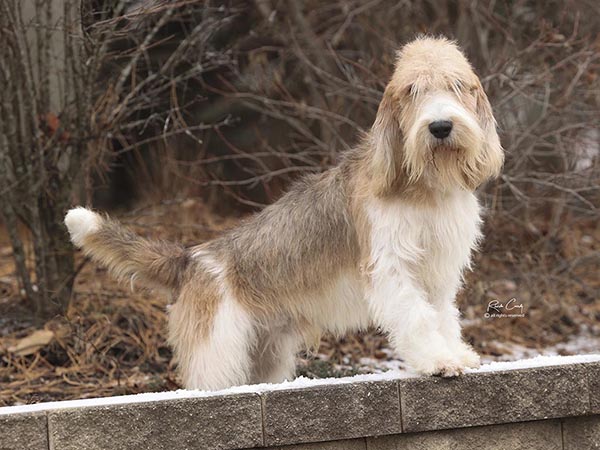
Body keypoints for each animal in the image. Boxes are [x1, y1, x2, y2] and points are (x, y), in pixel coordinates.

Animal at [65, 37, 504, 390]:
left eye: (457, 86)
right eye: (413, 90)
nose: (440, 126)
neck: (424, 186)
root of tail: (192, 259)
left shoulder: (438, 273)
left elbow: (442, 316)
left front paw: (456, 353)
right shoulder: (392, 268)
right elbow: (417, 317)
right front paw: (438, 361)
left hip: (267, 352)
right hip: (216, 354)